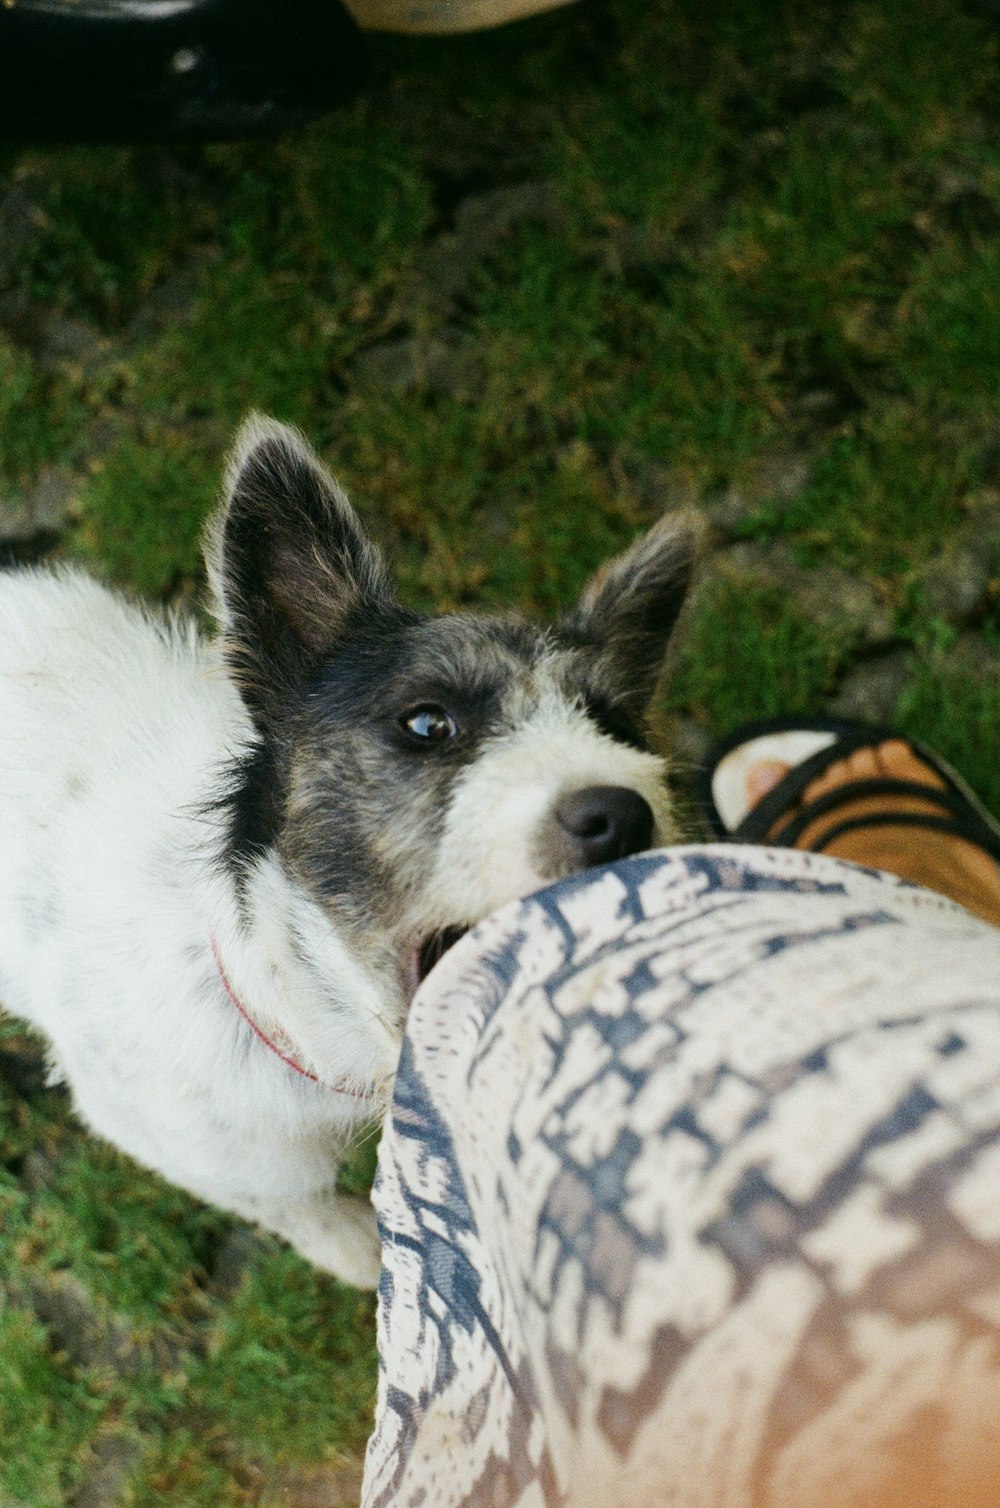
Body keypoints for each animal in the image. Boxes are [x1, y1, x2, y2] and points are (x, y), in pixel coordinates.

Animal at [0, 413, 699, 1284]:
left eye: (614, 726)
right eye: (427, 722)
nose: (622, 816)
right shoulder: (194, 1146)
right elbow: (301, 1211)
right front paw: (361, 1257)